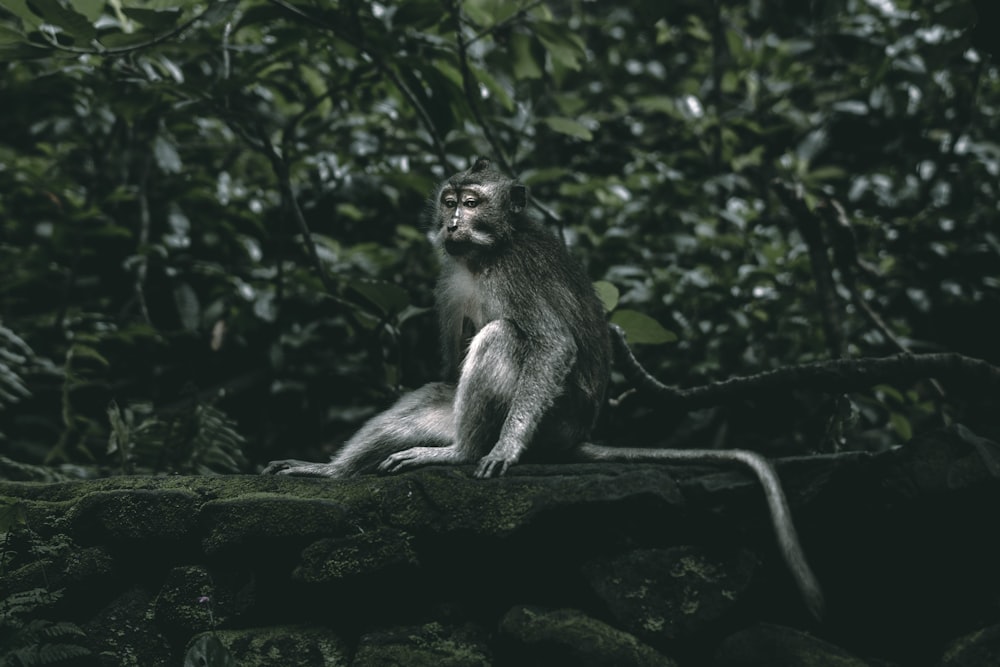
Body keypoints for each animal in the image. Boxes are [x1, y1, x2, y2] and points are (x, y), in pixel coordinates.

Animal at [262, 159, 824, 624]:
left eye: (472, 203)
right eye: (449, 200)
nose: (452, 223)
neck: (485, 255)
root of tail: (581, 434)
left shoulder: (519, 272)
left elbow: (552, 345)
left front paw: (507, 448)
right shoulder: (447, 281)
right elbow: (445, 373)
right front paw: (328, 468)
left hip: (555, 419)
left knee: (504, 337)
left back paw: (461, 453)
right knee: (433, 396)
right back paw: (337, 471)